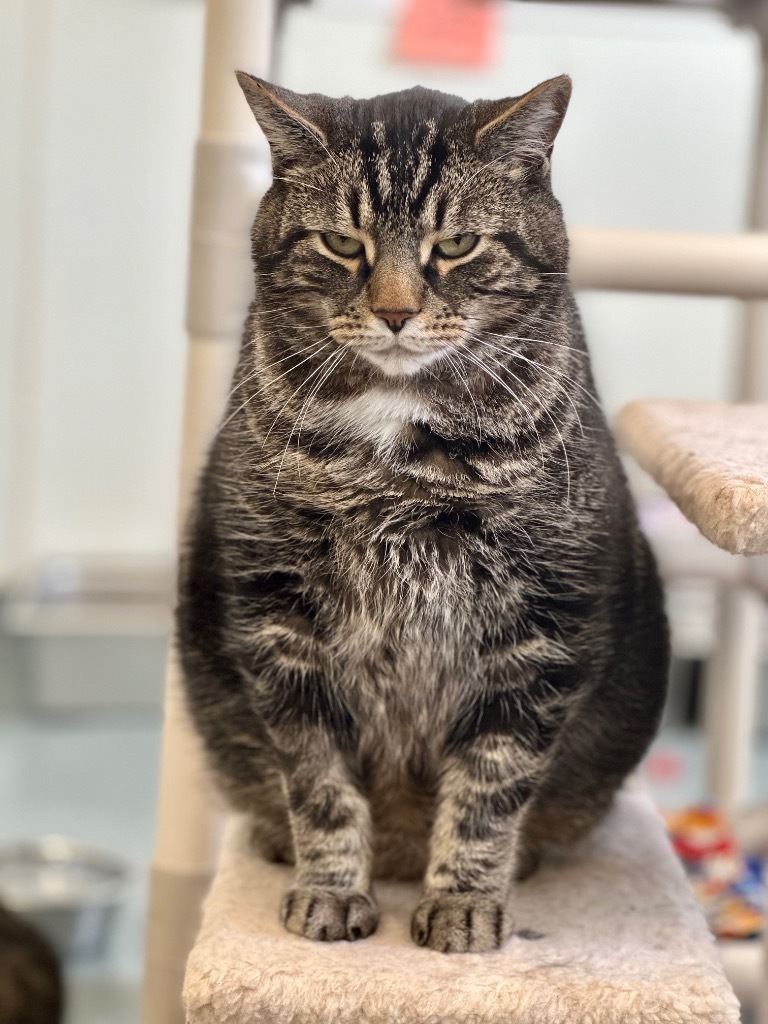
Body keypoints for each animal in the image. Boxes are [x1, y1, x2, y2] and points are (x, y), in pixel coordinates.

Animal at [177, 70, 671, 950]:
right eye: (343, 245)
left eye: (458, 245)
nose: (396, 312)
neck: (397, 453)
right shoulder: (279, 619)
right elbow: (319, 784)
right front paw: (330, 890)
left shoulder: (540, 629)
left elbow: (489, 789)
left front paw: (465, 904)